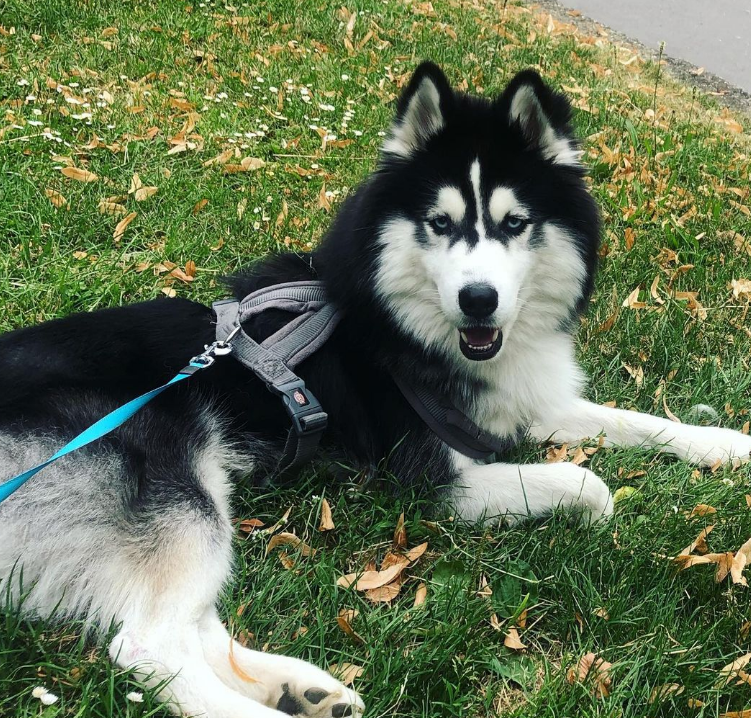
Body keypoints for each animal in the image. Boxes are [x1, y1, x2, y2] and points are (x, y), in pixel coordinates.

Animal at [1, 64, 751, 716]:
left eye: (515, 224)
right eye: (440, 223)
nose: (478, 300)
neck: (406, 330)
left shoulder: (528, 402)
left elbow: (637, 420)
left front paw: (725, 444)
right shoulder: (437, 480)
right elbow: (590, 483)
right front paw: (597, 513)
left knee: (187, 623)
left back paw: (301, 690)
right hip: (175, 486)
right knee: (145, 644)